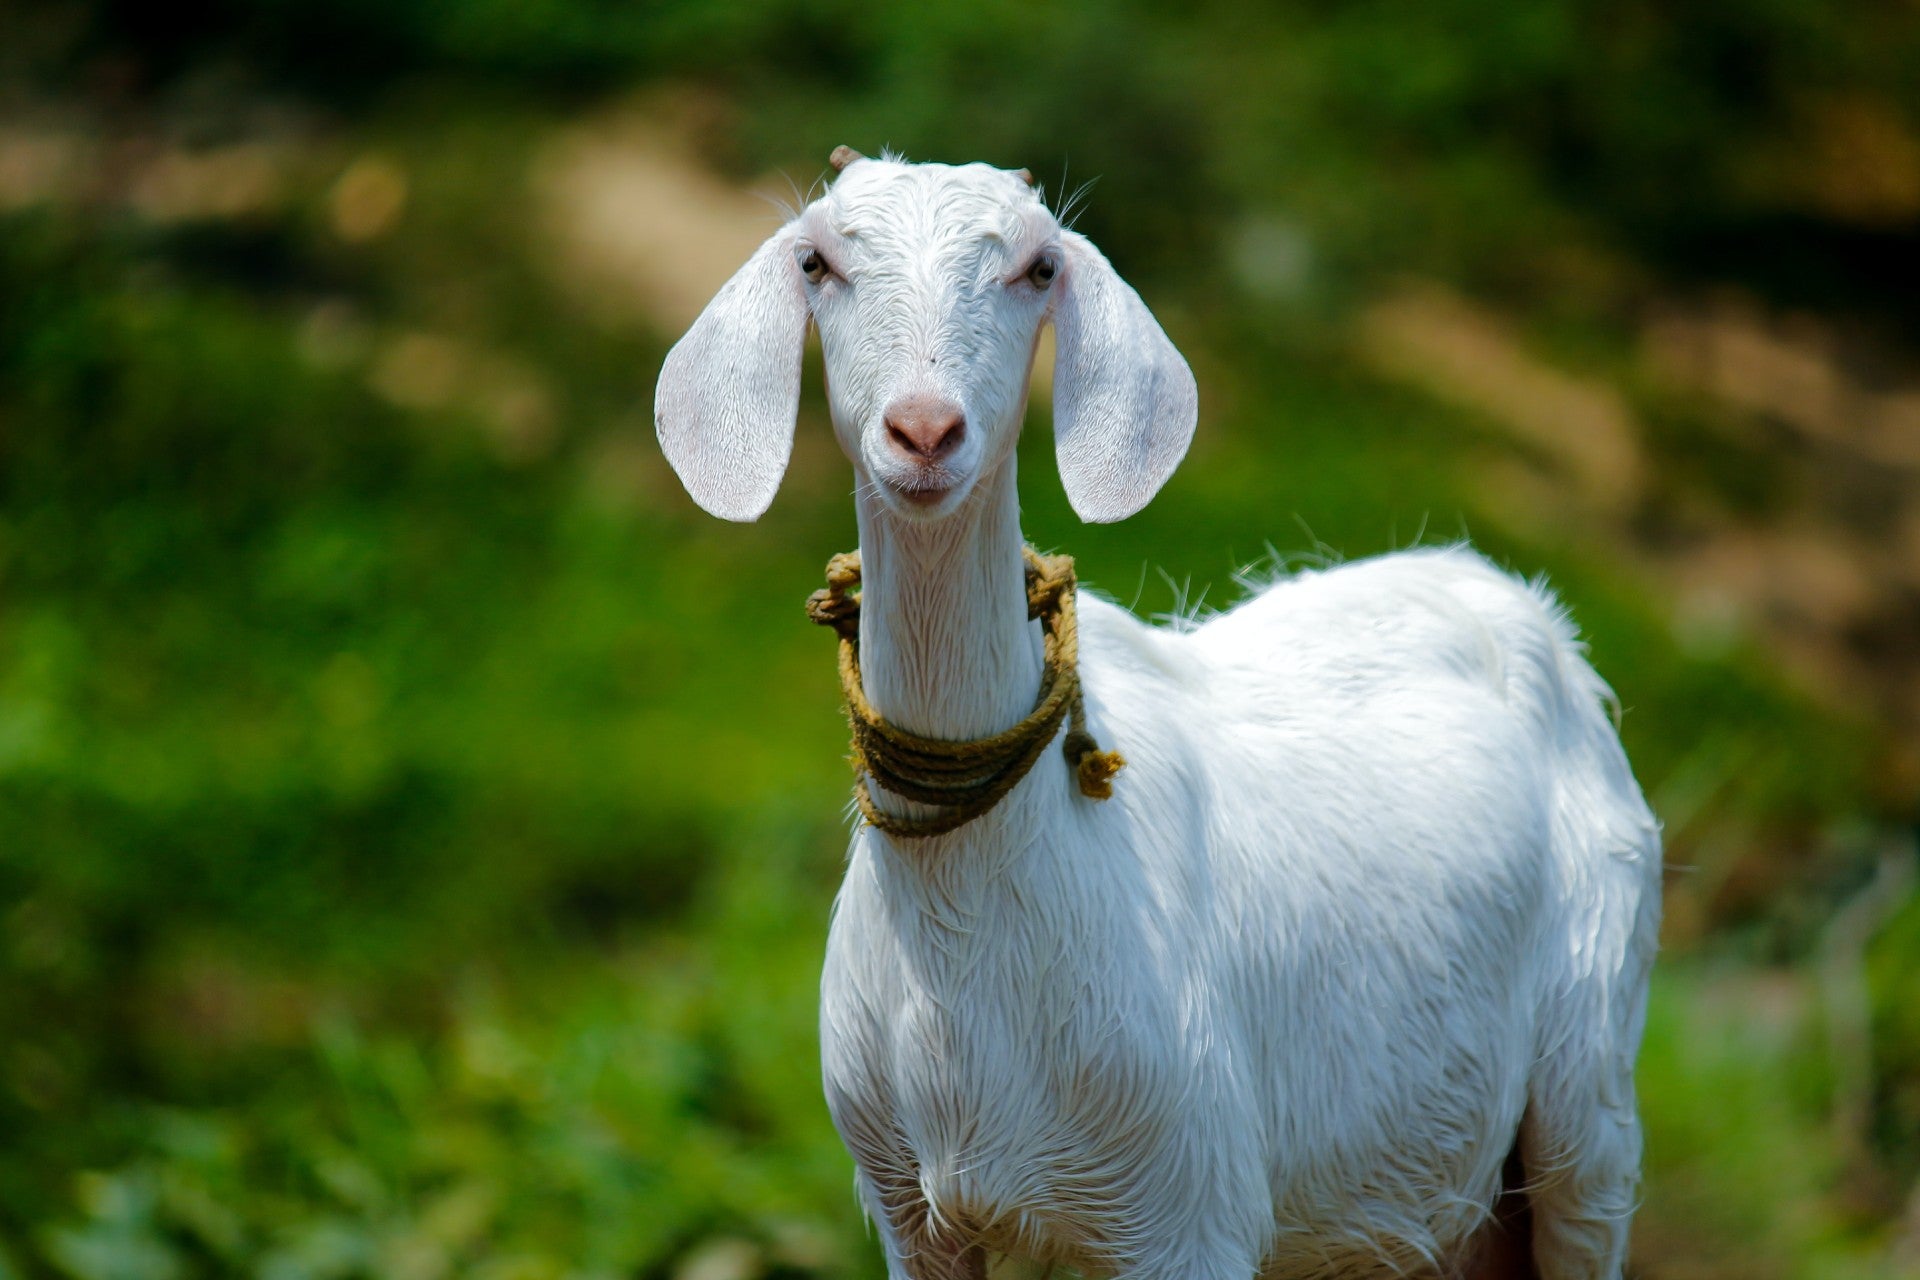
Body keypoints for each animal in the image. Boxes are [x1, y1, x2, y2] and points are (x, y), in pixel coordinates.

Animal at [654, 149, 1662, 1280]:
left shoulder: (1188, 1205)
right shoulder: (910, 1210)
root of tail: (1513, 600)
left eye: (1038, 267)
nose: (923, 431)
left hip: (1592, 1085)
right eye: (818, 260)